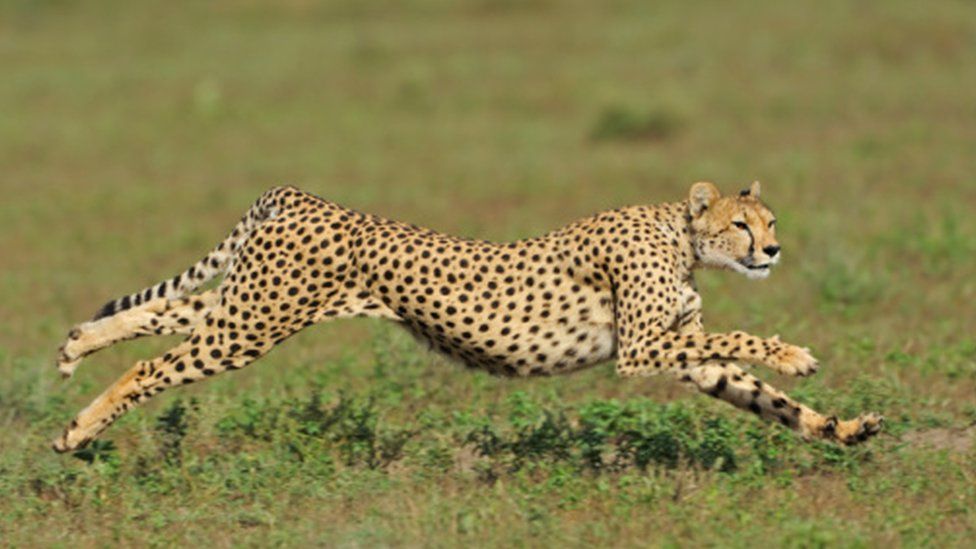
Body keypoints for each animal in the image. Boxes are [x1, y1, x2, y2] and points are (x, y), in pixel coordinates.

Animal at [53, 182, 884, 452]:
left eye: (769, 220)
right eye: (744, 224)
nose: (773, 249)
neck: (681, 236)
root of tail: (299, 195)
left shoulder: (681, 354)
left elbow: (764, 398)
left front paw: (844, 428)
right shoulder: (642, 349)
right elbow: (742, 341)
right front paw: (795, 352)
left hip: (249, 303)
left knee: (161, 312)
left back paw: (72, 348)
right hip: (253, 322)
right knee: (153, 363)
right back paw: (77, 432)